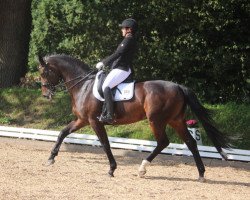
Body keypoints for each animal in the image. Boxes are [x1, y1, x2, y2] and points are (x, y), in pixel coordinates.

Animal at [37, 54, 230, 182]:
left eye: (44, 73)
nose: (46, 95)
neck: (84, 85)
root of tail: (178, 86)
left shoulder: (94, 121)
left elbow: (105, 143)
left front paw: (112, 169)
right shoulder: (82, 120)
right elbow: (63, 133)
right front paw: (50, 158)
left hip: (156, 120)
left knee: (163, 142)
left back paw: (142, 169)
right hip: (176, 120)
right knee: (191, 143)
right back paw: (201, 174)